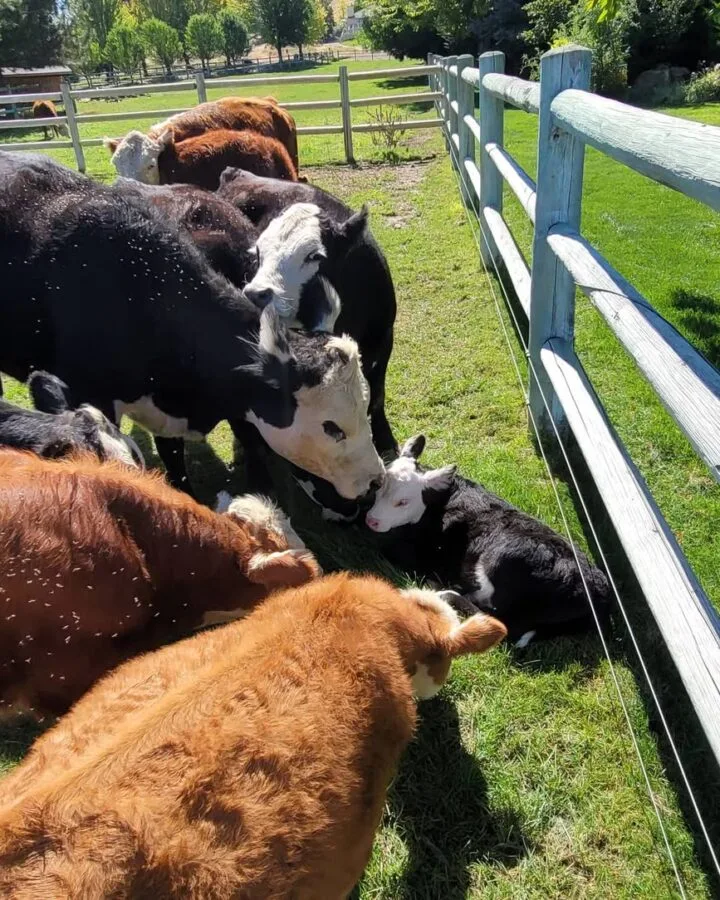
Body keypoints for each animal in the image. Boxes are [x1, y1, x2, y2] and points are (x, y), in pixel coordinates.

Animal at [365, 435, 611, 646]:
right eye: (378, 486)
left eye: (403, 501)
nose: (371, 520)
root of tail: (598, 592)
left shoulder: (419, 555)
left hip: (501, 560)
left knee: (502, 623)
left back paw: (443, 592)